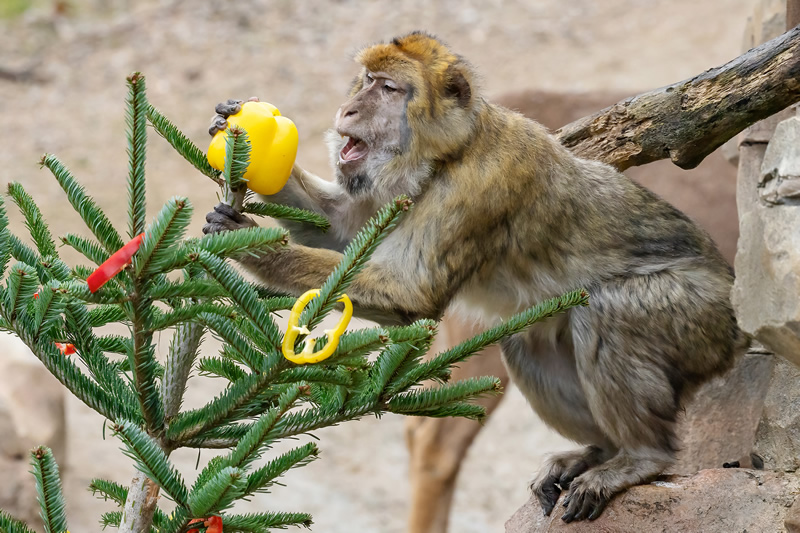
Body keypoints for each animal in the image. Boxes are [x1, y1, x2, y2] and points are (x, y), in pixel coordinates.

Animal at [202, 32, 752, 520]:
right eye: (366, 80)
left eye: (388, 88)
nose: (349, 110)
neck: (447, 154)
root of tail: (735, 319)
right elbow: (346, 231)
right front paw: (233, 120)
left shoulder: (481, 184)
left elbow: (412, 294)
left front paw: (249, 243)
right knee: (525, 340)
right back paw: (599, 450)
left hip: (696, 317)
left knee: (606, 312)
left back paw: (638, 457)